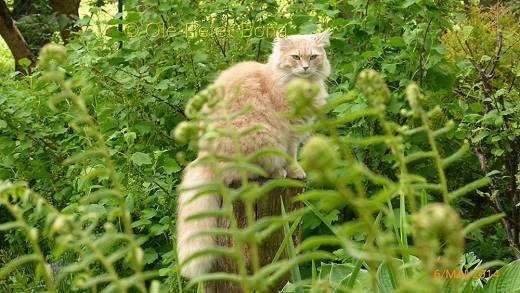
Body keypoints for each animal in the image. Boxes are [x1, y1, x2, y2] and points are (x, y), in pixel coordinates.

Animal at [175, 30, 330, 278]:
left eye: (313, 57)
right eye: (296, 57)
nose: (305, 68)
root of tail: (205, 157)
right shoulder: (289, 133)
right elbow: (292, 156)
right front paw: (296, 172)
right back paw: (278, 172)